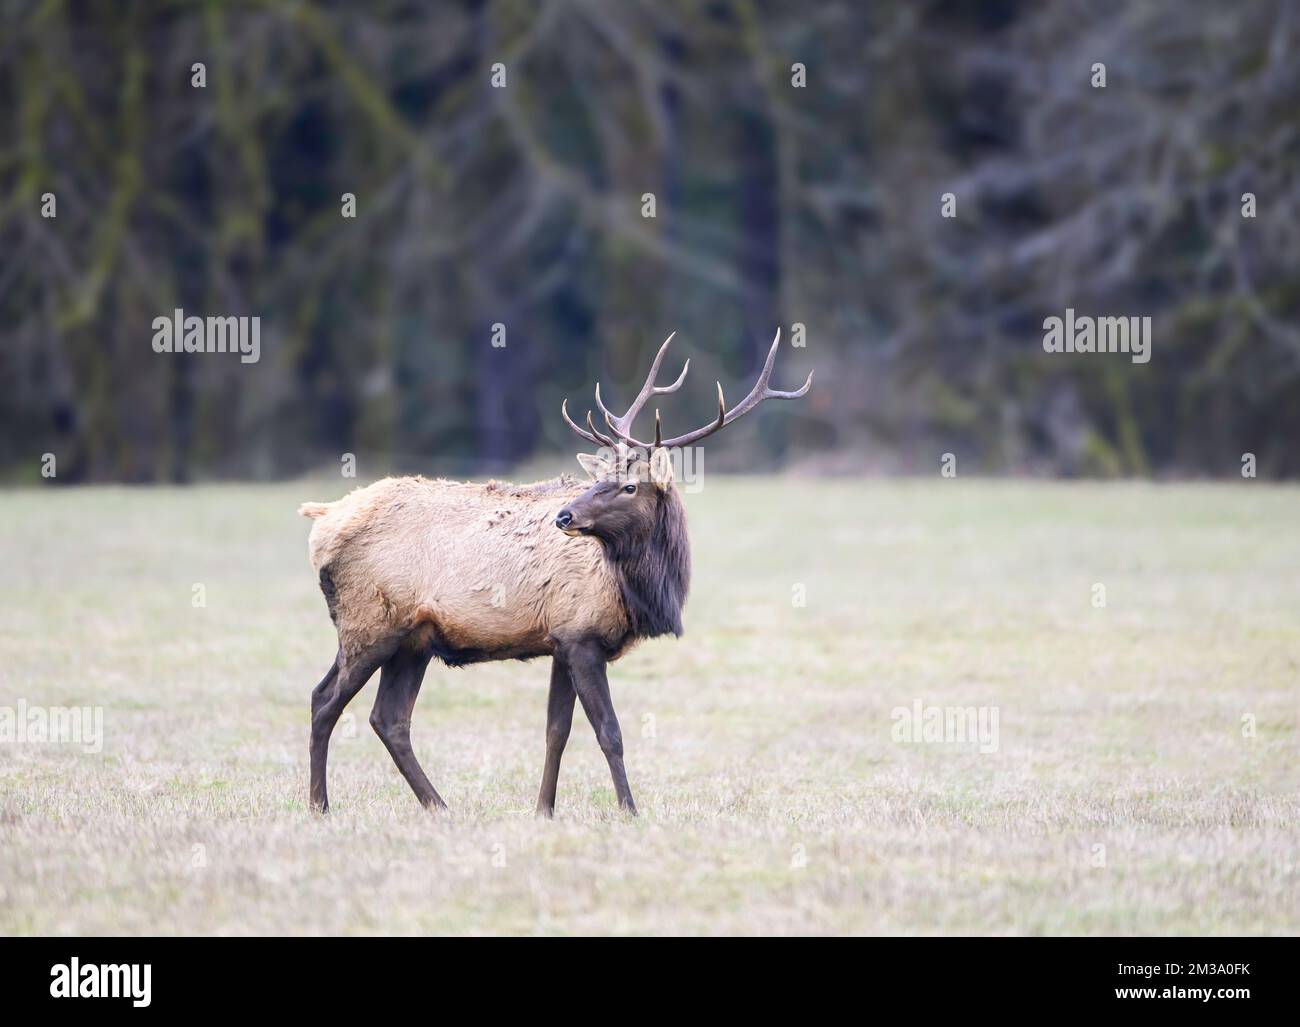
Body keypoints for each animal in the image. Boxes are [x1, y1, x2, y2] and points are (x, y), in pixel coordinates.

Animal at [301, 332, 811, 816]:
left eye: (629, 486)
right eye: (599, 479)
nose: (564, 515)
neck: (639, 592)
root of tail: (323, 518)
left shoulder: (561, 640)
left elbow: (556, 731)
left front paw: (544, 809)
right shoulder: (581, 636)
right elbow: (609, 732)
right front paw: (630, 809)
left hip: (412, 640)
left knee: (388, 718)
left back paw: (439, 806)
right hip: (369, 623)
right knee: (324, 701)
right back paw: (320, 806)